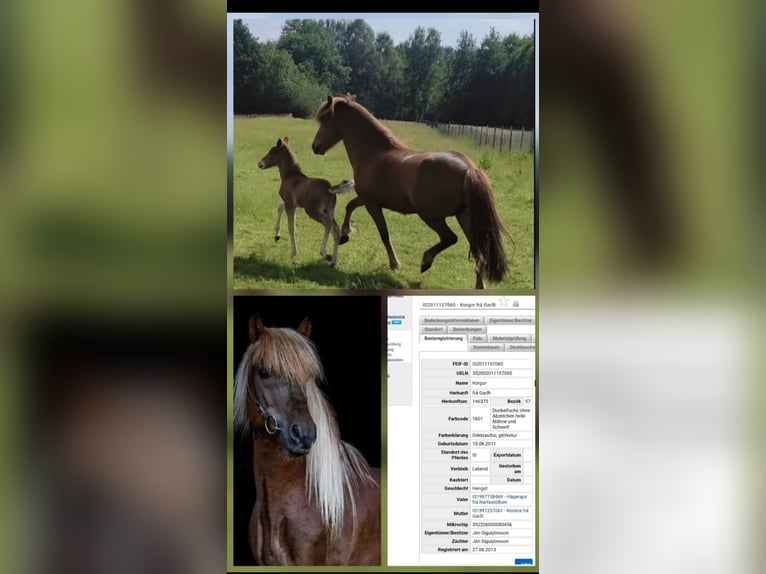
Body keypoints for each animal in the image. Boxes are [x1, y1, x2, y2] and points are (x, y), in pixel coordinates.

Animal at [258, 137, 355, 266]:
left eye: (272, 152)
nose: (260, 164)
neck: (291, 176)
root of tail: (330, 188)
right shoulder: (293, 204)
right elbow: (280, 207)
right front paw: (277, 235)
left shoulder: (290, 204)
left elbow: (291, 227)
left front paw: (294, 252)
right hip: (329, 211)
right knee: (336, 229)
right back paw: (333, 260)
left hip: (312, 211)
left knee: (328, 224)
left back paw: (324, 253)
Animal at [311, 94, 511, 289]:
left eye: (325, 120)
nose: (315, 147)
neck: (374, 154)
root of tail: (469, 168)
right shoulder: (368, 199)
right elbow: (350, 206)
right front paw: (345, 234)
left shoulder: (372, 204)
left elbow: (384, 234)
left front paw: (394, 264)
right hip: (465, 217)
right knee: (479, 251)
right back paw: (479, 285)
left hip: (432, 216)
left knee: (451, 238)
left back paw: (426, 261)